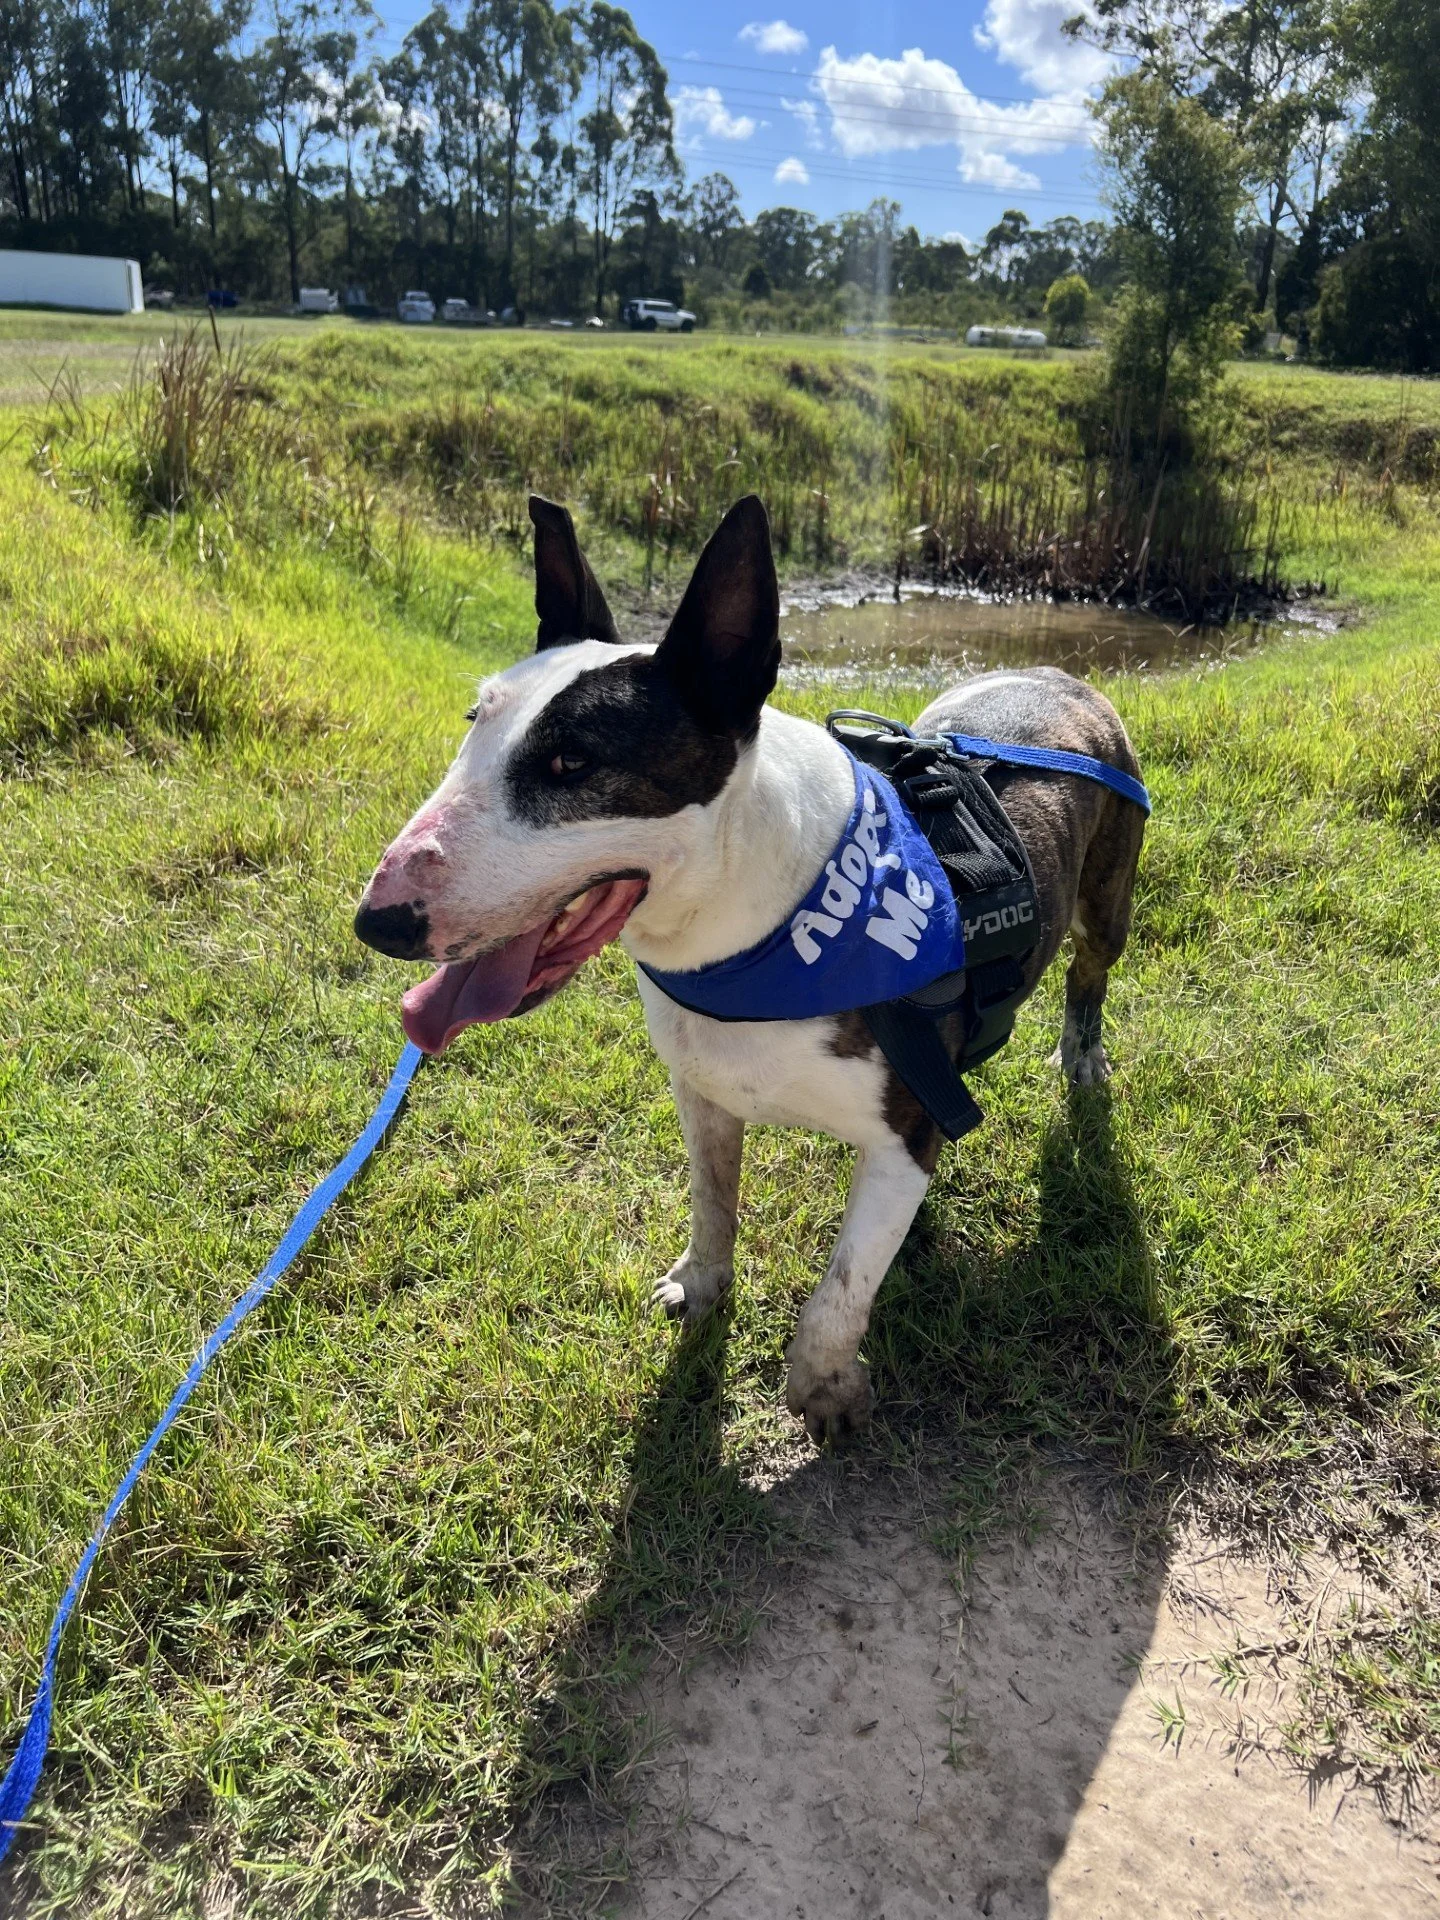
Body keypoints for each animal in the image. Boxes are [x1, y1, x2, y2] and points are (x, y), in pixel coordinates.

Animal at [354, 496, 1146, 1445]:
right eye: (476, 723)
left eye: (572, 763)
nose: (377, 922)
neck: (756, 934)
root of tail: (1061, 674)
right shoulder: (703, 1094)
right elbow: (713, 1201)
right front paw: (701, 1288)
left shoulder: (901, 1132)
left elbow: (842, 1286)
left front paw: (825, 1387)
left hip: (1108, 897)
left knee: (1089, 974)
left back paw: (1083, 1054)